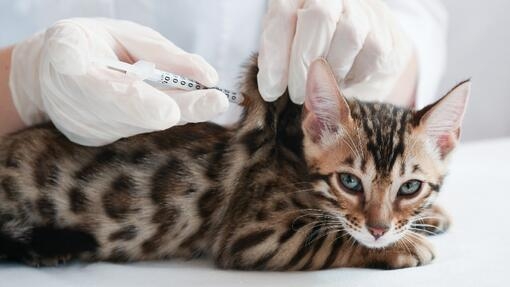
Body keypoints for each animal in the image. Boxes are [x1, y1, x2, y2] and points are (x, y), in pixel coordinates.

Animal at [0, 56, 470, 270]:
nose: (378, 229)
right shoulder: (254, 235)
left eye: (410, 187)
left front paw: (430, 217)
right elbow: (330, 237)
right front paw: (404, 246)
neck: (294, 162)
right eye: (350, 183)